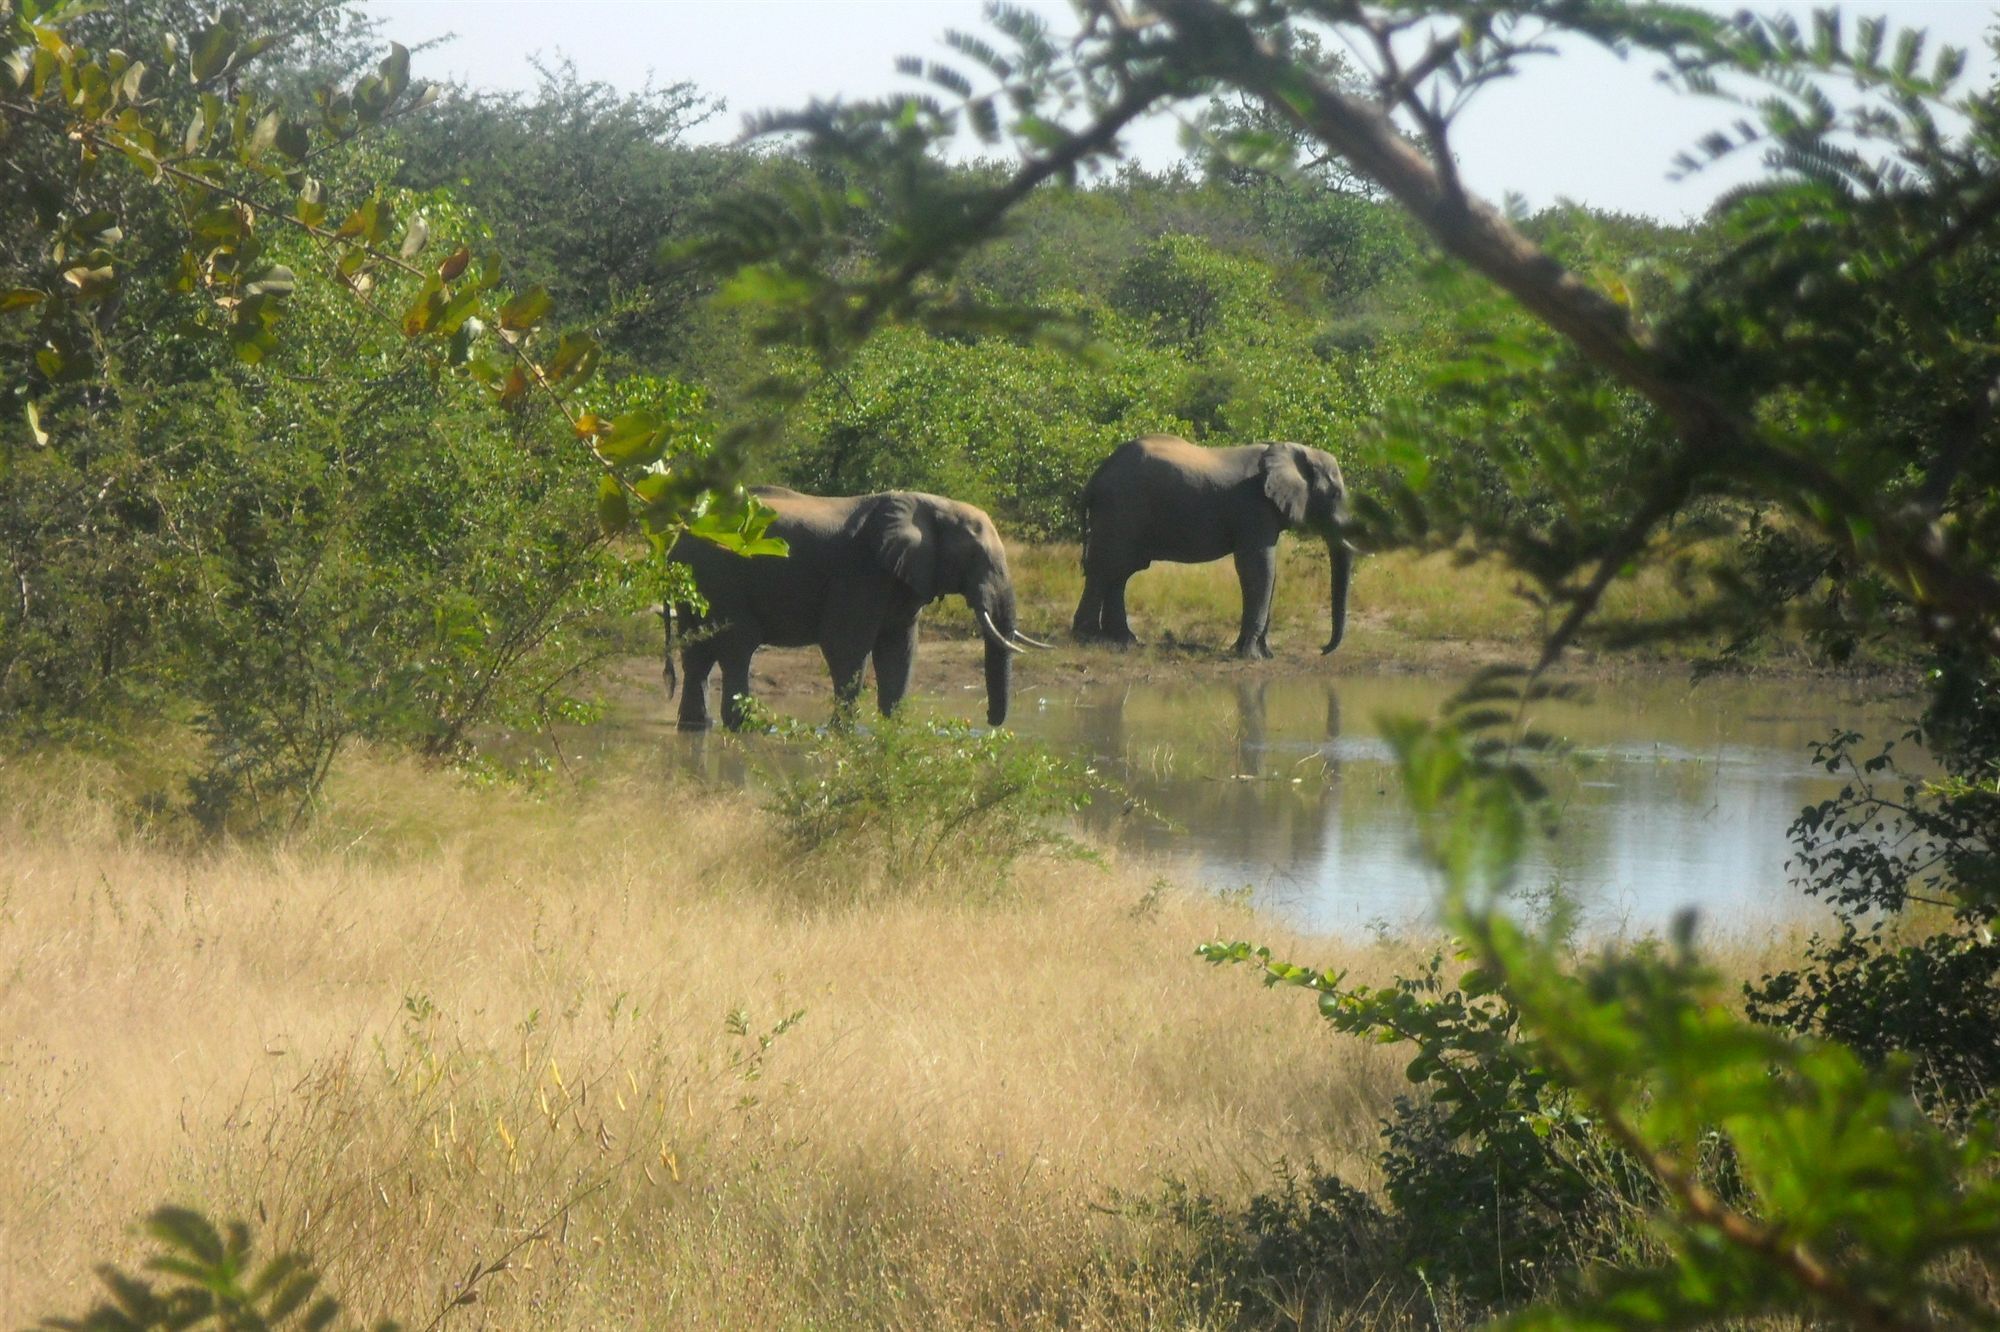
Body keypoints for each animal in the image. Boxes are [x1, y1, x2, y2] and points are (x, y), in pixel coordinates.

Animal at [668, 486, 1056, 732]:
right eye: (976, 557)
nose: (989, 720)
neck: (931, 504)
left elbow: (899, 649)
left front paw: (893, 732)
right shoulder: (860, 571)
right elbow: (845, 645)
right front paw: (845, 734)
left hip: (697, 584)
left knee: (696, 654)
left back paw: (697, 726)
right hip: (722, 581)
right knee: (738, 647)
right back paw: (748, 727)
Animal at [1080, 436, 1360, 660]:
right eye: (1334, 494)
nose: (1322, 649)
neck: (1289, 450)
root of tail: (1095, 478)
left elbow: (1267, 573)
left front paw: (1265, 654)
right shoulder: (1254, 506)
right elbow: (1258, 568)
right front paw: (1251, 657)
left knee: (1119, 571)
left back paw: (1124, 641)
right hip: (1121, 507)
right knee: (1106, 567)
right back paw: (1088, 639)